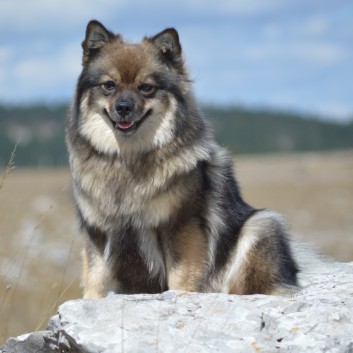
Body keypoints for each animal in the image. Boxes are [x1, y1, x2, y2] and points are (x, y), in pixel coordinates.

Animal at [64, 20, 298, 298]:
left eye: (146, 87)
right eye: (109, 85)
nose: (123, 108)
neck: (129, 157)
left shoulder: (180, 224)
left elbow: (181, 275)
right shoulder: (97, 230)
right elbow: (95, 275)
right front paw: (90, 299)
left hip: (261, 224)